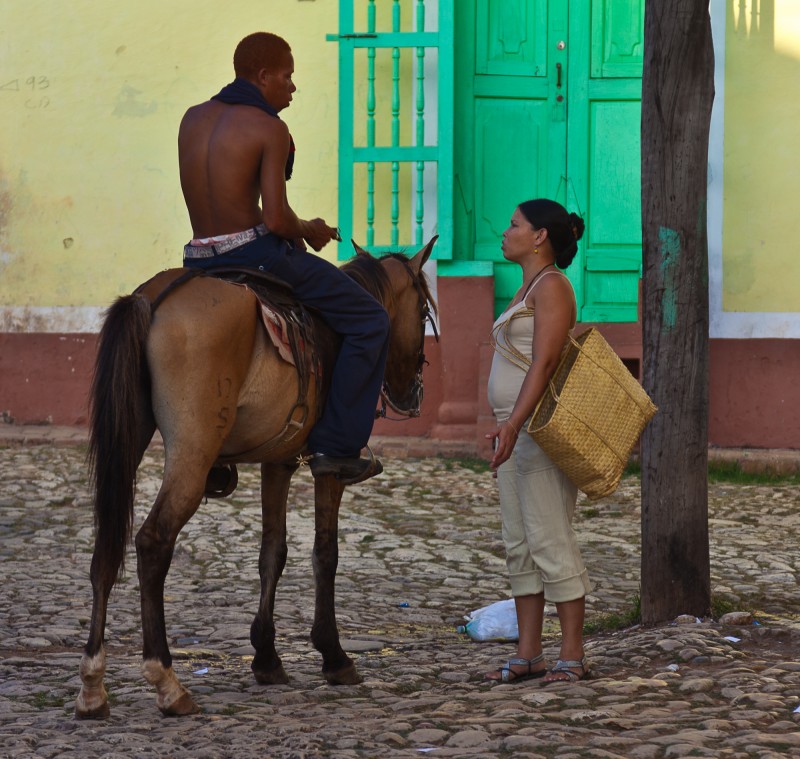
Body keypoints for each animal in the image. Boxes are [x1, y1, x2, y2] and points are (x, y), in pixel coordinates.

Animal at [73, 240, 438, 720]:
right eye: (424, 311)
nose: (413, 393)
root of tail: (152, 299)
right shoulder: (330, 468)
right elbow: (325, 554)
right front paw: (334, 656)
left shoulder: (278, 461)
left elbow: (273, 553)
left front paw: (266, 657)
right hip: (191, 451)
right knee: (153, 542)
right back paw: (167, 681)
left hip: (129, 437)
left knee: (106, 547)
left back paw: (93, 686)